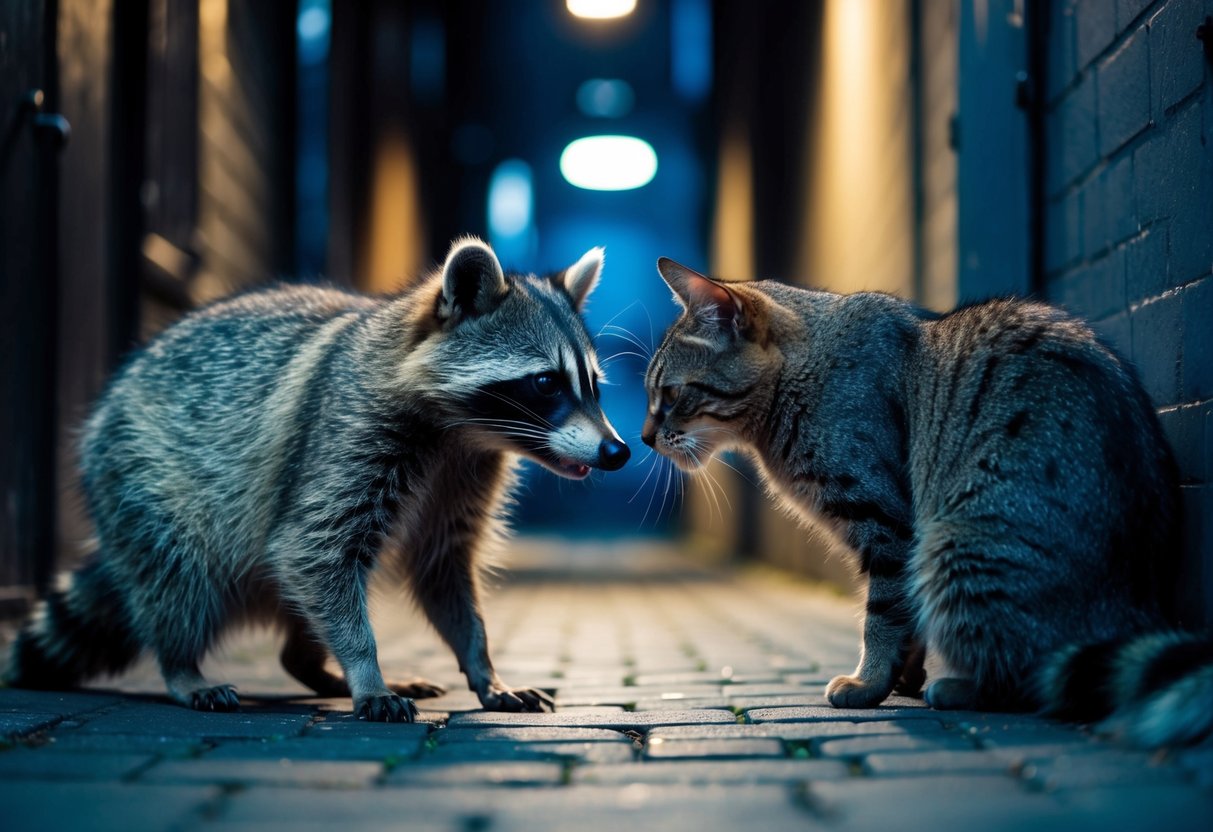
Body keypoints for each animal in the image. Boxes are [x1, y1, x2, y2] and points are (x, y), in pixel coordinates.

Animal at [7, 238, 630, 721]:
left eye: (594, 387)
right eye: (546, 382)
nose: (618, 451)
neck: (464, 432)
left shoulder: (464, 476)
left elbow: (442, 564)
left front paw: (482, 666)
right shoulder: (346, 433)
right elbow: (312, 545)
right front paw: (364, 667)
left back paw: (310, 664)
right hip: (136, 468)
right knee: (180, 570)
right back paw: (183, 666)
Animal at [642, 257, 1212, 747]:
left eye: (670, 395)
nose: (645, 438)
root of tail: (1137, 610)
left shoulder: (886, 524)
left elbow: (882, 615)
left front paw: (870, 682)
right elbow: (905, 619)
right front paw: (902, 676)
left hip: (957, 547)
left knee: (1032, 677)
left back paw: (959, 686)